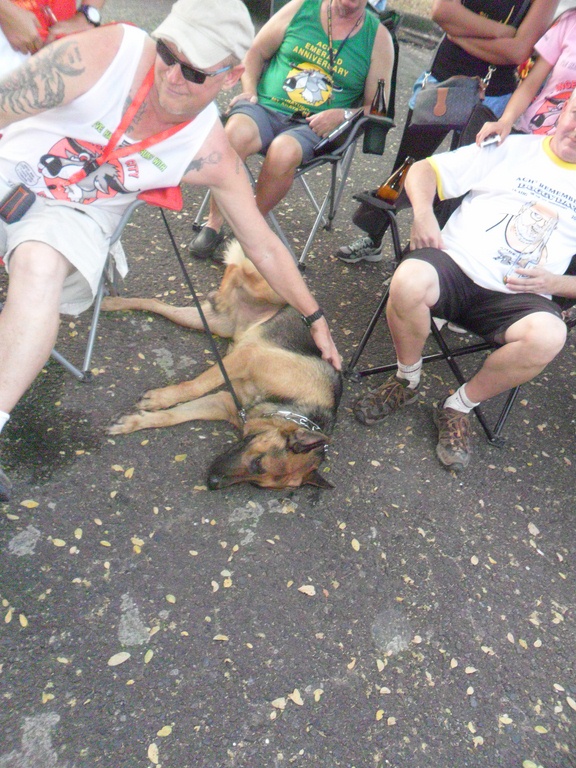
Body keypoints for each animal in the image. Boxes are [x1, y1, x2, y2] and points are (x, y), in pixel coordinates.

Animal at [102, 241, 342, 490]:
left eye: (257, 484)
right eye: (258, 463)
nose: (212, 483)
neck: (291, 404)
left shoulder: (224, 401)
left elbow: (173, 416)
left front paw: (133, 422)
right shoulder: (245, 358)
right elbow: (194, 386)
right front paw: (160, 398)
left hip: (210, 323)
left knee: (157, 303)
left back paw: (111, 303)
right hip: (270, 286)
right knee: (239, 264)